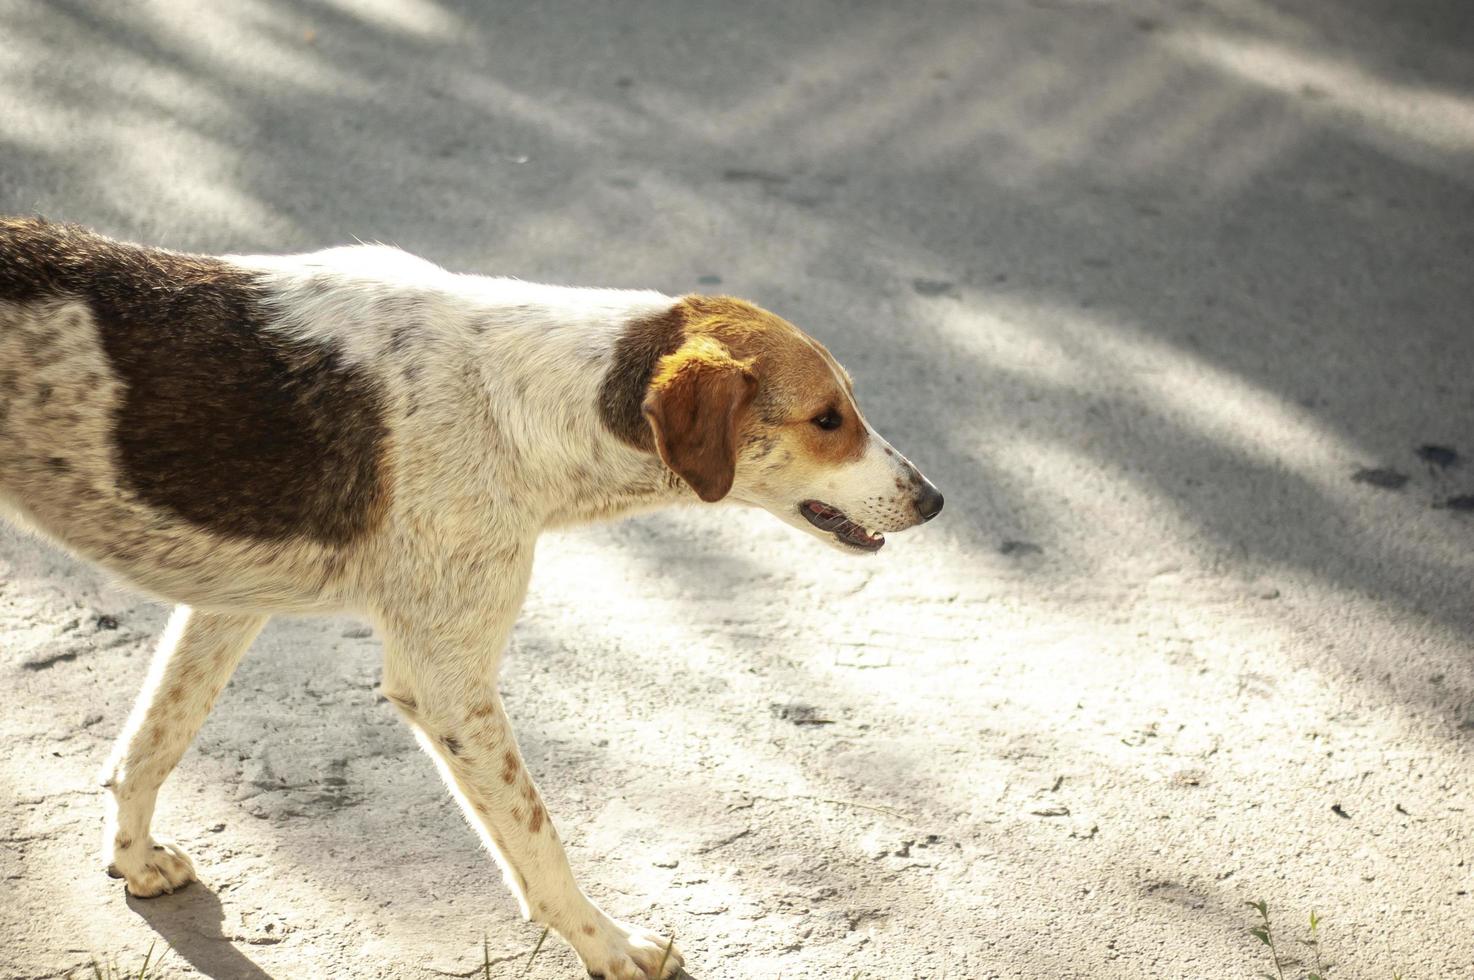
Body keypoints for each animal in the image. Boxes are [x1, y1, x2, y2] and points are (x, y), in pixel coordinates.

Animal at [0, 216, 943, 978]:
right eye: (827, 419)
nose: (935, 501)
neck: (523, 402)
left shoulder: (228, 600)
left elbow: (151, 742)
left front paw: (133, 860)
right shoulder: (446, 684)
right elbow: (539, 842)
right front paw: (610, 947)